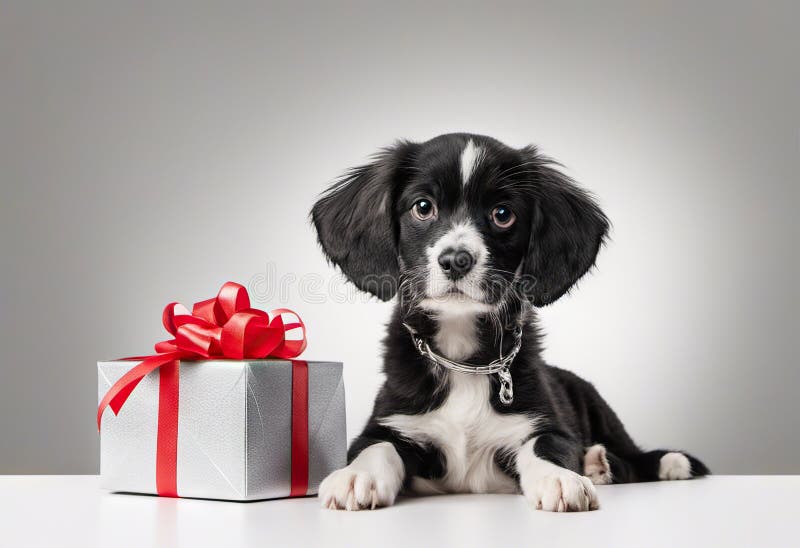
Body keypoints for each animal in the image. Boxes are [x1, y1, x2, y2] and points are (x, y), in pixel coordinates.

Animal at [310, 134, 708, 512]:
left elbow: (544, 447)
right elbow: (376, 448)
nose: (456, 260)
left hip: (598, 407)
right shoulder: (390, 422)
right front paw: (355, 477)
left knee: (635, 458)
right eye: (423, 207)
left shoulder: (546, 425)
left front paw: (560, 479)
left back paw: (631, 463)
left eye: (503, 214)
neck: (463, 357)